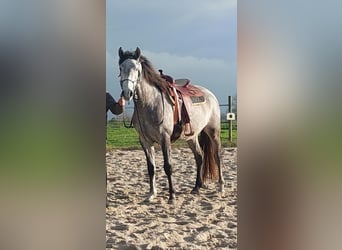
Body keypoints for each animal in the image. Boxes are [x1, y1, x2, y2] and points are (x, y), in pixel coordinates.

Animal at [117, 47, 224, 203]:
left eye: (137, 69)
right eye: (120, 68)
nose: (127, 93)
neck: (150, 103)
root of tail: (210, 95)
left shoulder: (164, 138)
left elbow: (168, 166)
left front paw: (172, 196)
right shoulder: (145, 141)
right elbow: (151, 168)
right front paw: (151, 194)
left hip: (213, 132)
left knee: (217, 156)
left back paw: (221, 187)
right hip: (191, 137)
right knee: (199, 157)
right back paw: (196, 188)